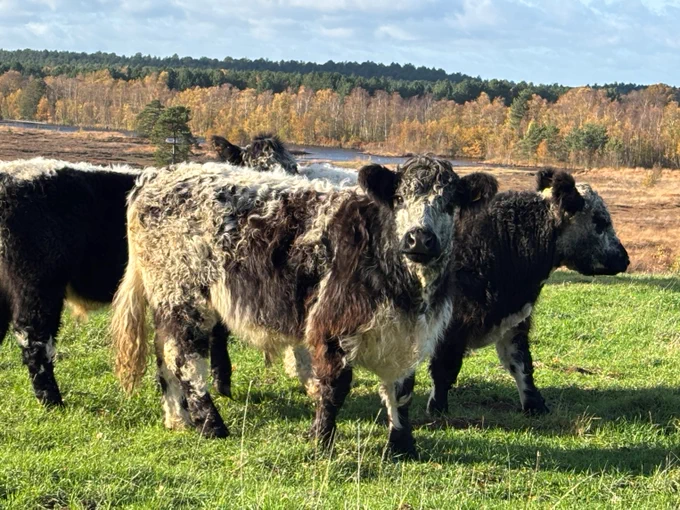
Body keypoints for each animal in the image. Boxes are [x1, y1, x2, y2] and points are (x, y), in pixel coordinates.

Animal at [112, 155, 493, 455]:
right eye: (398, 198)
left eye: (449, 204)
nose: (419, 239)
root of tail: (158, 175)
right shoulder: (331, 325)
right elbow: (334, 386)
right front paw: (321, 440)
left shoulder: (408, 334)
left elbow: (401, 391)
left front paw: (402, 445)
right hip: (183, 294)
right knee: (184, 357)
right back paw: (211, 424)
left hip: (168, 299)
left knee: (165, 355)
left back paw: (178, 418)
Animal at [425, 168, 630, 416]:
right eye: (600, 221)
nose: (625, 259)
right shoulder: (452, 325)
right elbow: (445, 368)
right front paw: (437, 409)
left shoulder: (516, 322)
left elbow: (522, 364)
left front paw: (535, 405)